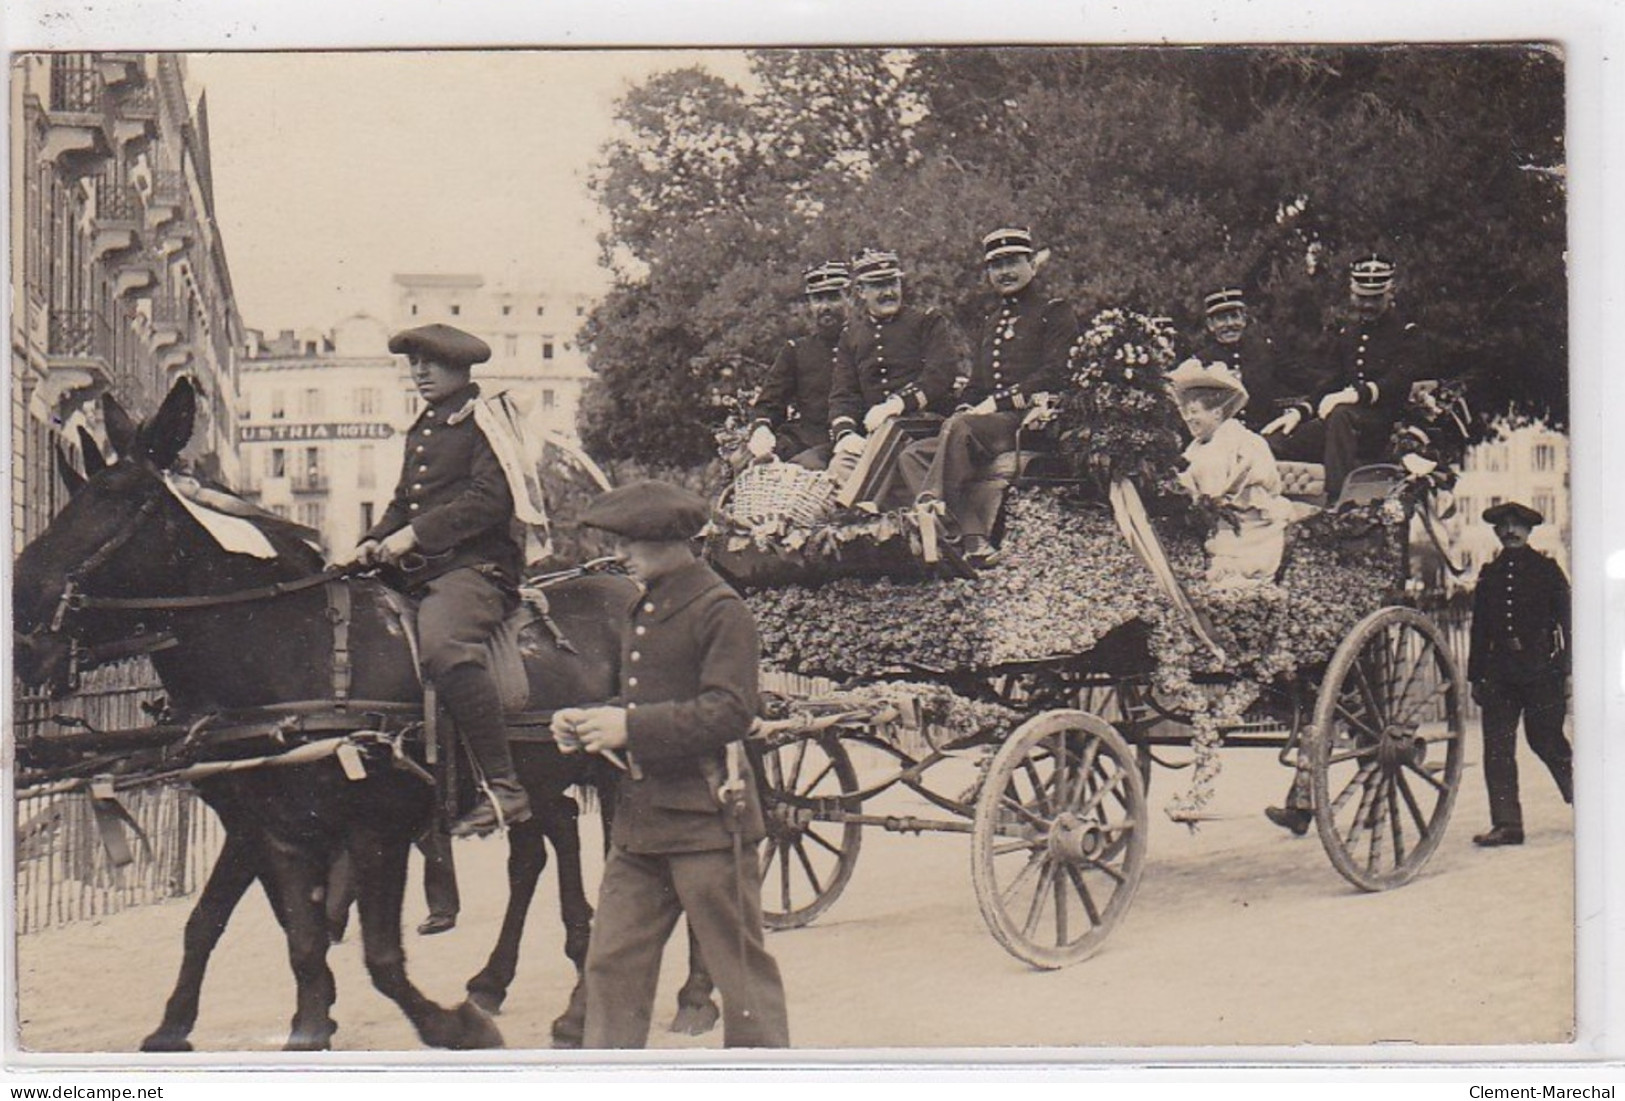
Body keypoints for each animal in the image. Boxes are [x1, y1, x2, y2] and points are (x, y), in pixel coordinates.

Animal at [9, 383, 715, 1058]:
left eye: (122, 501)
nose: (20, 612)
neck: (290, 650)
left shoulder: (378, 825)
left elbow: (376, 956)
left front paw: (449, 1026)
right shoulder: (275, 829)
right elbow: (272, 930)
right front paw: (286, 1021)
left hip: (631, 776)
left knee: (662, 865)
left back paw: (670, 998)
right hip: (550, 776)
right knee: (557, 850)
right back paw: (532, 988)